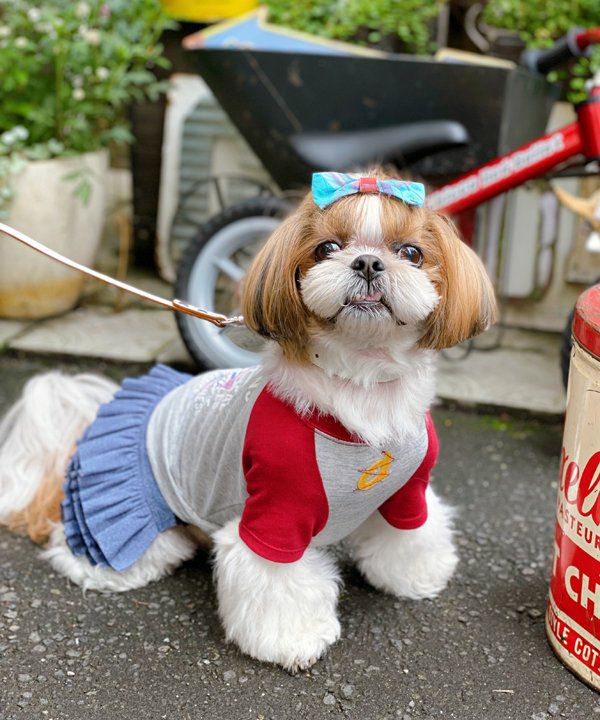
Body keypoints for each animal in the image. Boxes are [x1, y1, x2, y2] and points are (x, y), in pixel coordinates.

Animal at [0, 170, 496, 671]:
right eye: (327, 248)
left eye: (411, 253)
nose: (368, 263)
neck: (362, 382)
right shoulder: (275, 511)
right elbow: (277, 580)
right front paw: (293, 639)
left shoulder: (408, 489)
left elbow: (413, 532)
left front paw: (418, 576)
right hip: (128, 520)